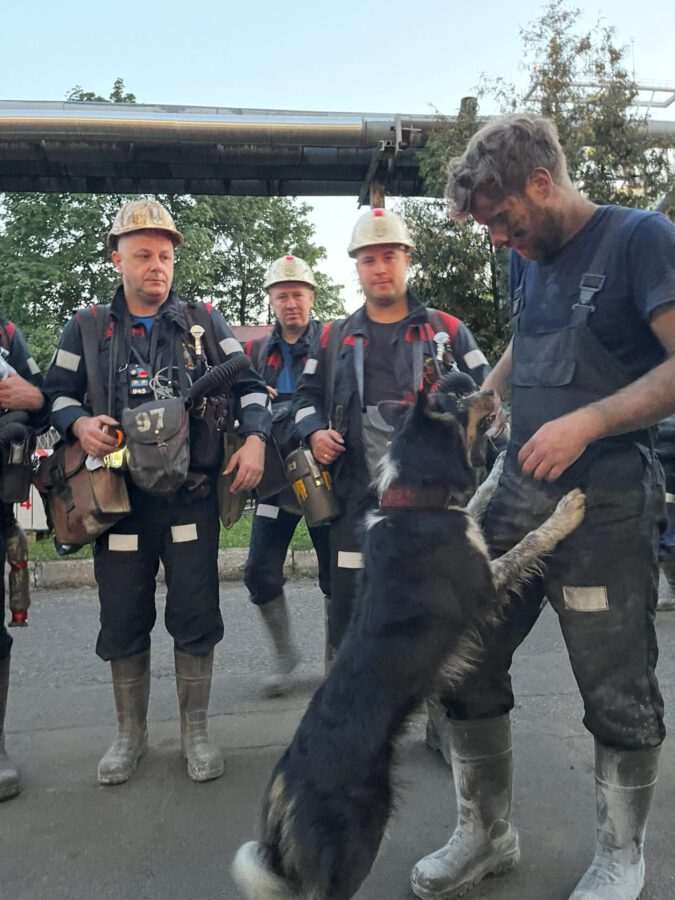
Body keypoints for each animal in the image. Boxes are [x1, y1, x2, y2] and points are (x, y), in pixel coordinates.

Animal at [233, 373, 585, 900]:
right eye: (457, 400)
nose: (490, 389)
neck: (412, 506)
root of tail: (284, 785)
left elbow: (478, 499)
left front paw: (497, 471)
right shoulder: (485, 585)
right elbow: (531, 541)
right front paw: (566, 511)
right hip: (353, 846)